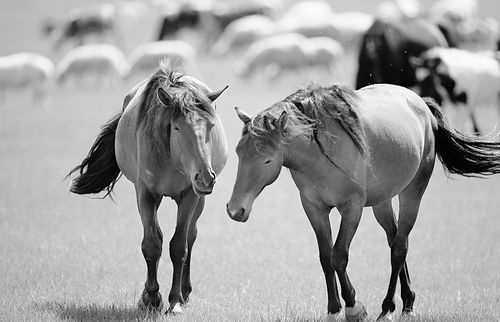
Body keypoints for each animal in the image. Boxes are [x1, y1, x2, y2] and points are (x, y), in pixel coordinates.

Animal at [67, 63, 228, 314]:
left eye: (211, 125)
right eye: (177, 127)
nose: (206, 177)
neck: (173, 158)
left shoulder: (190, 196)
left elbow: (179, 246)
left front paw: (174, 301)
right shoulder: (145, 194)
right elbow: (152, 244)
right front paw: (151, 298)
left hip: (199, 199)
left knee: (190, 236)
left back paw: (185, 291)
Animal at [226, 82, 500, 320]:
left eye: (267, 160)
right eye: (238, 153)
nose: (234, 210)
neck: (319, 151)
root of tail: (421, 103)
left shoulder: (352, 207)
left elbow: (339, 255)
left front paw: (354, 307)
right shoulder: (314, 208)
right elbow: (325, 257)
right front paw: (333, 309)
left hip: (412, 193)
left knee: (399, 248)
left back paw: (389, 307)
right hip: (382, 202)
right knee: (394, 239)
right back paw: (407, 301)